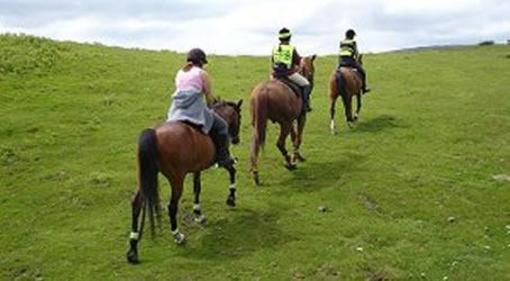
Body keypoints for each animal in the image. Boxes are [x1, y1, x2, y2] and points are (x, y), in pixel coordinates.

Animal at [125, 99, 241, 264]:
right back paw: (177, 236)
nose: (236, 139)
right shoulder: (222, 160)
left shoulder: (197, 168)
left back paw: (133, 248)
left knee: (136, 203)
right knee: (172, 206)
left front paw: (198, 213)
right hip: (176, 179)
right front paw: (231, 198)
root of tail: (155, 134)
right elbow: (232, 171)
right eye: (239, 117)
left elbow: (197, 188)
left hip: (145, 176)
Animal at [250, 55, 316, 185]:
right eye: (313, 69)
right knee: (280, 143)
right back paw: (289, 163)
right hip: (284, 124)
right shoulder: (301, 117)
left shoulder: (291, 120)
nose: (312, 82)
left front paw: (297, 156)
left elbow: (294, 137)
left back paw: (256, 174)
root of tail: (263, 91)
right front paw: (295, 158)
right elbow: (298, 138)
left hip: (258, 125)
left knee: (255, 147)